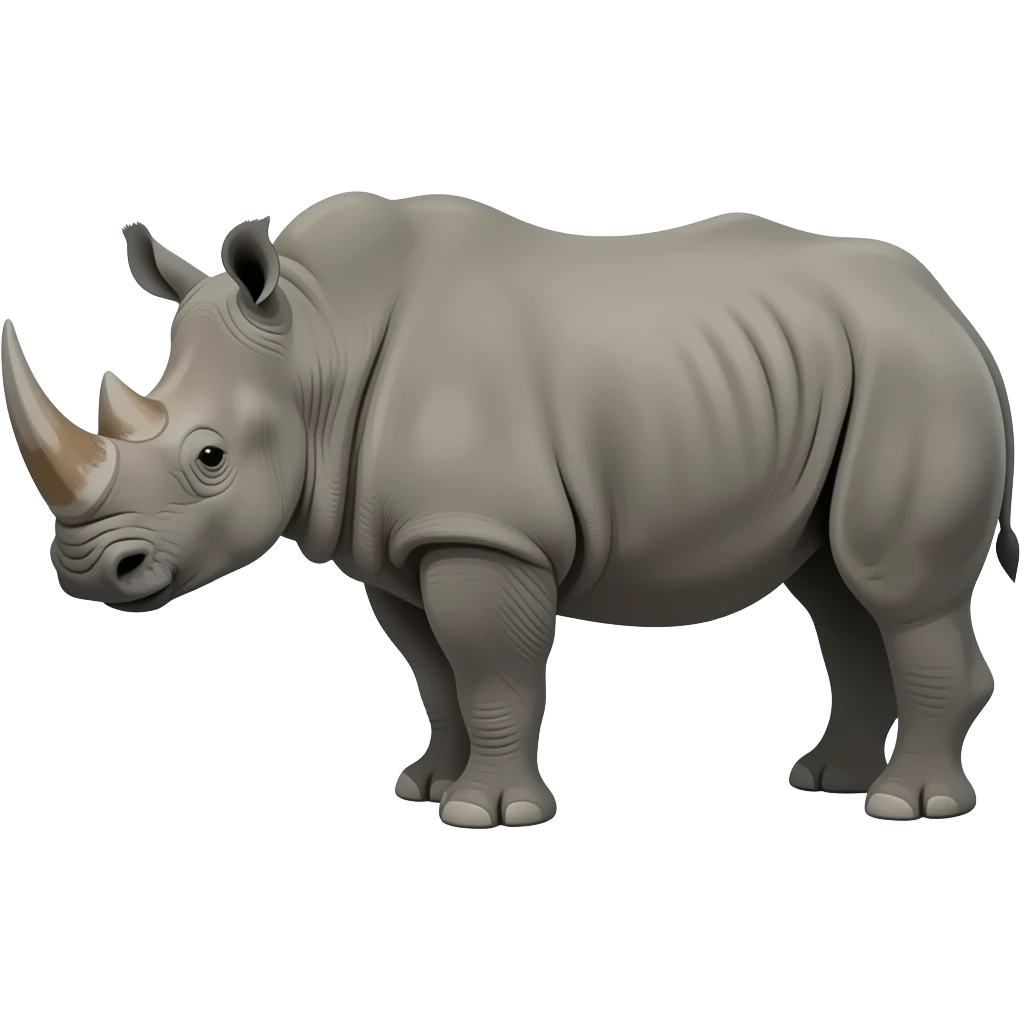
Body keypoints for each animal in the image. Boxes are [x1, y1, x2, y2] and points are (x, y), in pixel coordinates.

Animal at [2, 194, 1015, 826]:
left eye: (210, 459)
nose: (89, 572)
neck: (317, 343)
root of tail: (957, 316)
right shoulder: (400, 541)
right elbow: (434, 672)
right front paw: (426, 786)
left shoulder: (485, 534)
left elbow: (492, 669)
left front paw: (489, 814)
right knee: (838, 589)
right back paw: (829, 782)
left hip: (912, 378)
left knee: (894, 589)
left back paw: (907, 807)